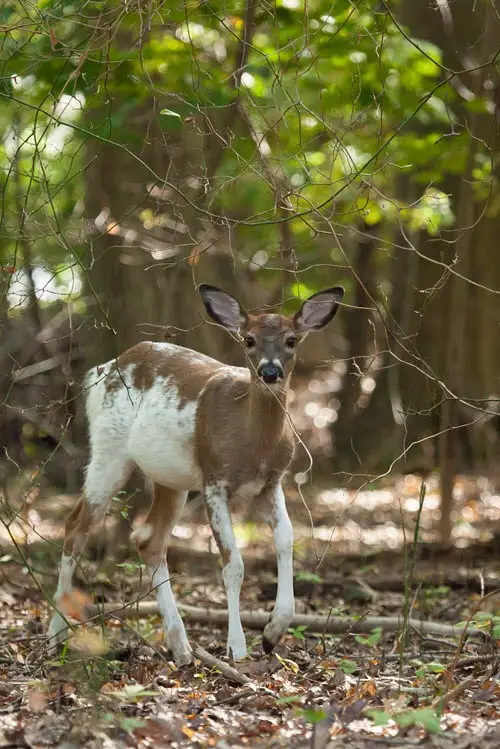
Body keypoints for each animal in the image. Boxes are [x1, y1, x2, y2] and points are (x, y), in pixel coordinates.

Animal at [47, 284, 344, 664]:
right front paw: (237, 647)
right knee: (76, 526)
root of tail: (101, 370)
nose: (270, 372)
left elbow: (287, 542)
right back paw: (55, 635)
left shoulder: (271, 482)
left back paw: (181, 646)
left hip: (169, 477)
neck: (252, 444)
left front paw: (272, 633)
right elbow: (233, 564)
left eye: (291, 340)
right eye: (249, 339)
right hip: (109, 449)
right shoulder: (214, 479)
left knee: (148, 539)